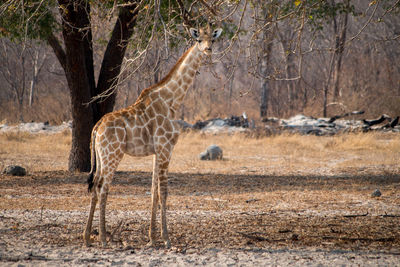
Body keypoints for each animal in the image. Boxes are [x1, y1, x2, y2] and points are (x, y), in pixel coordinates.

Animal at [83, 25, 223, 249]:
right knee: (103, 187)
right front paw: (166, 238)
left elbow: (153, 192)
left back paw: (88, 237)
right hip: (113, 154)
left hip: (102, 156)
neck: (172, 99)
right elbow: (164, 191)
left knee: (95, 185)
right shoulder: (166, 148)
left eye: (213, 39)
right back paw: (103, 238)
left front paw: (152, 237)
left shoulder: (157, 151)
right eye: (199, 40)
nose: (208, 49)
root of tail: (96, 128)